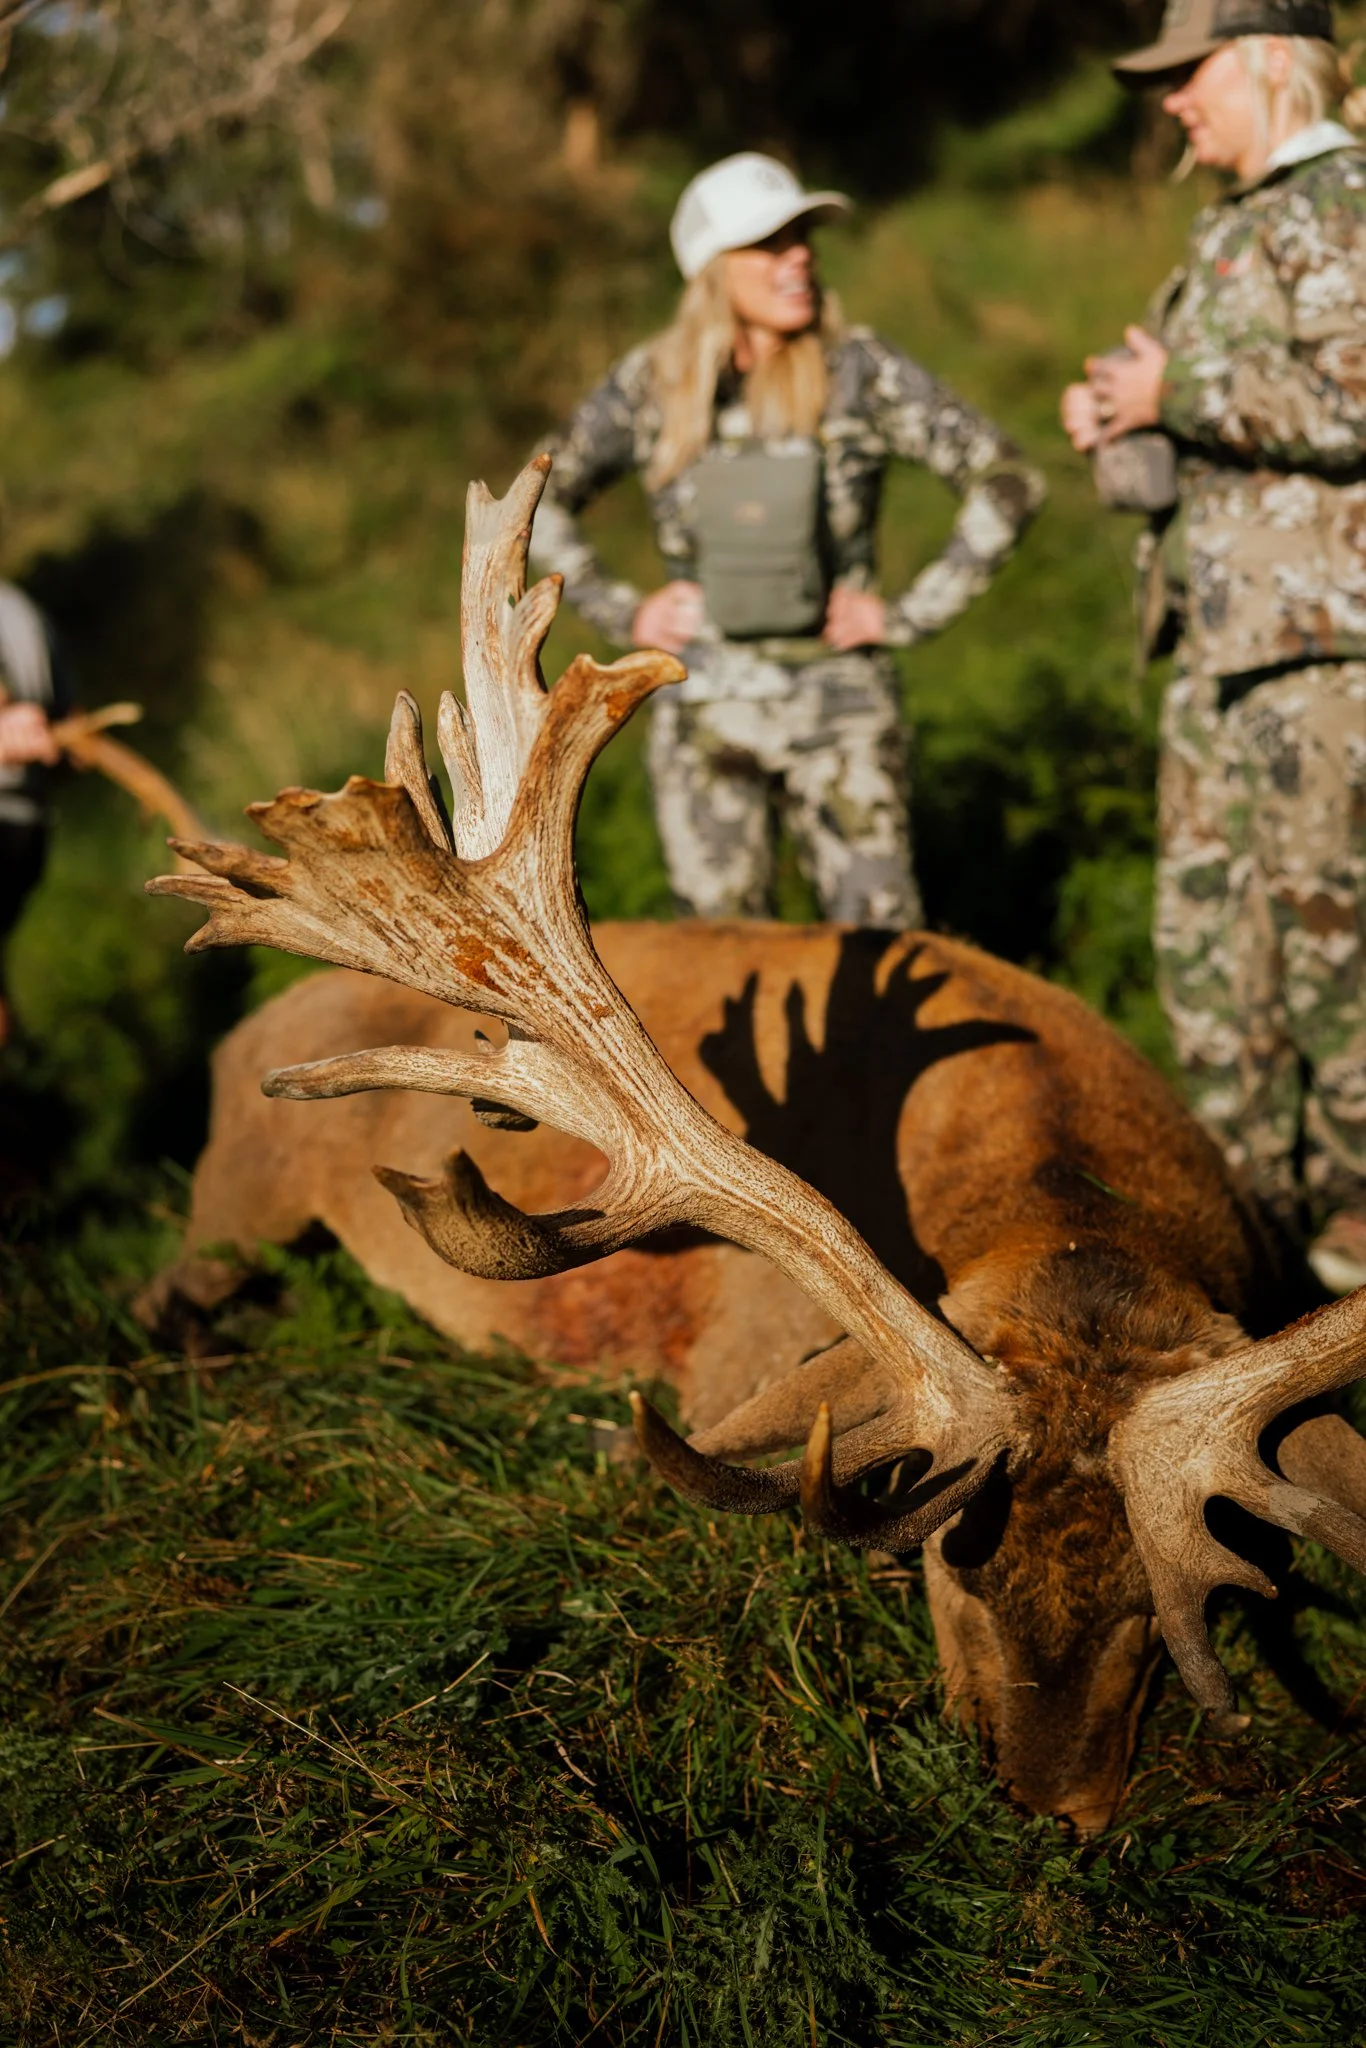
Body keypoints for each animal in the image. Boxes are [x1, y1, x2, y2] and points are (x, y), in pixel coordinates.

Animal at [146, 457, 1366, 1835]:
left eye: (1159, 1607)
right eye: (946, 1563)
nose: (1050, 1804)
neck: (1059, 1189)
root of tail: (240, 1033)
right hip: (241, 1190)